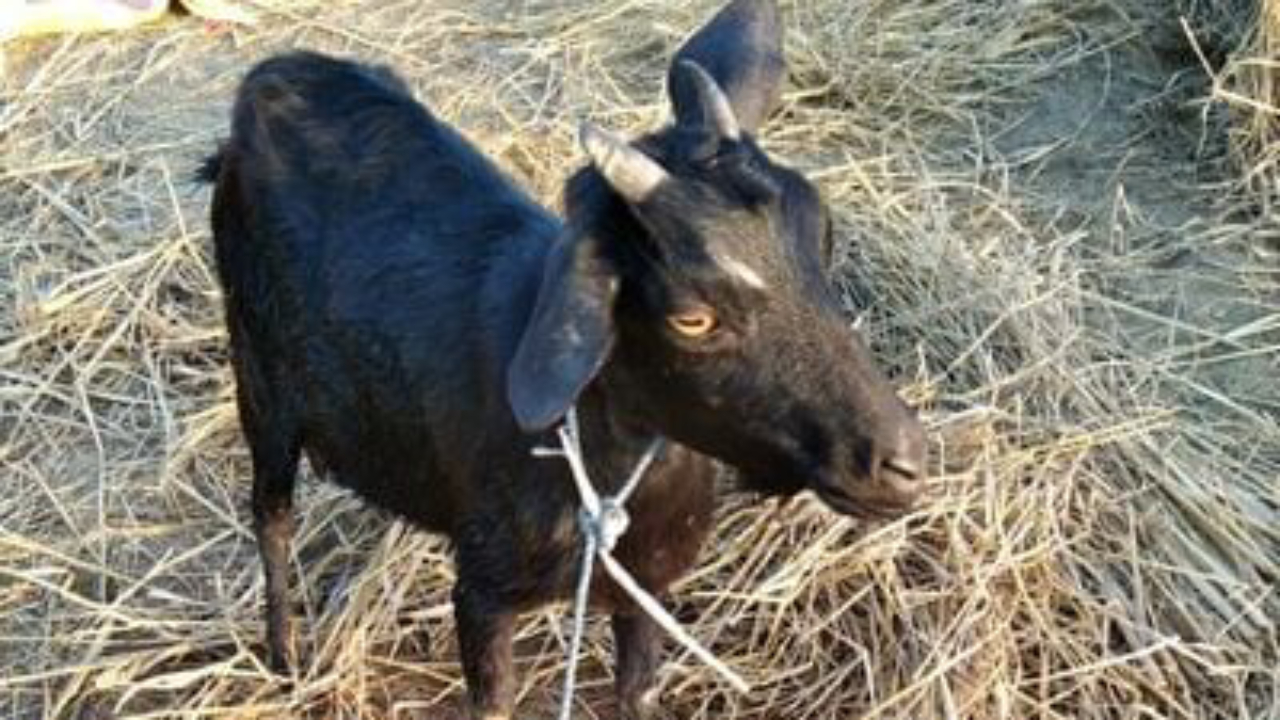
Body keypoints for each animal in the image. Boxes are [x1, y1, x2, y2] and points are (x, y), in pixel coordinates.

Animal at [199, 1, 926, 717]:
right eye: (692, 317)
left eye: (822, 238)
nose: (900, 463)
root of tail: (276, 72)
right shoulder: (483, 594)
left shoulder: (647, 589)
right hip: (258, 373)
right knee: (271, 513)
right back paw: (284, 657)